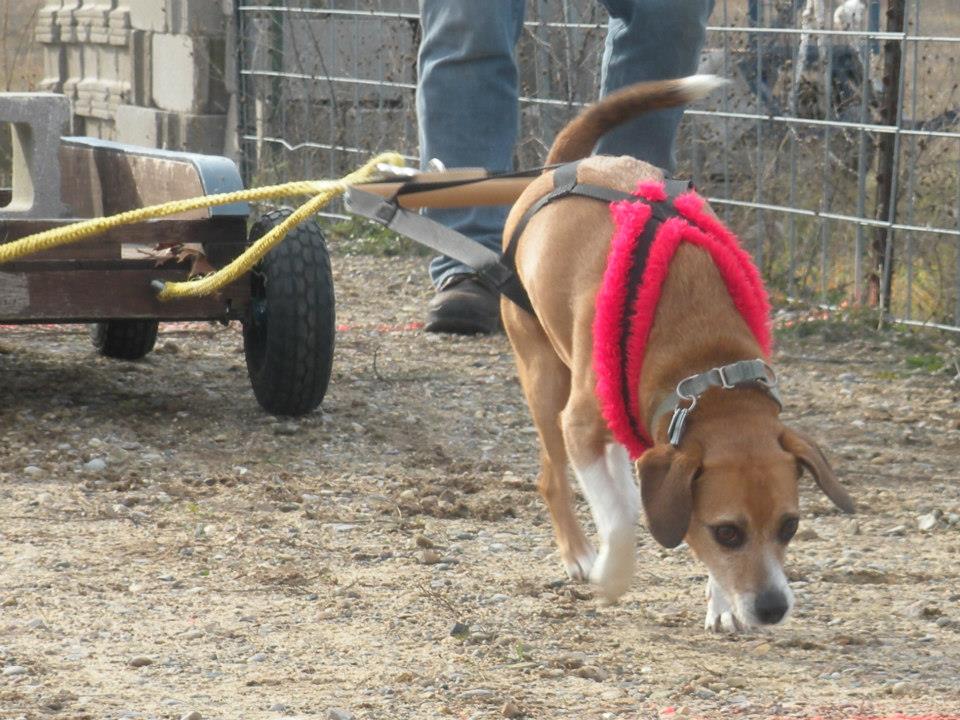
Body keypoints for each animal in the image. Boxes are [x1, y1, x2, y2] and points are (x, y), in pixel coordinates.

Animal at [498, 76, 852, 632]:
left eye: (790, 526)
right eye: (727, 532)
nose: (773, 609)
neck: (707, 366)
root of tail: (562, 167)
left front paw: (719, 603)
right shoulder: (580, 424)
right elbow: (618, 521)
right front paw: (612, 574)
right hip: (544, 381)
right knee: (554, 478)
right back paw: (579, 554)